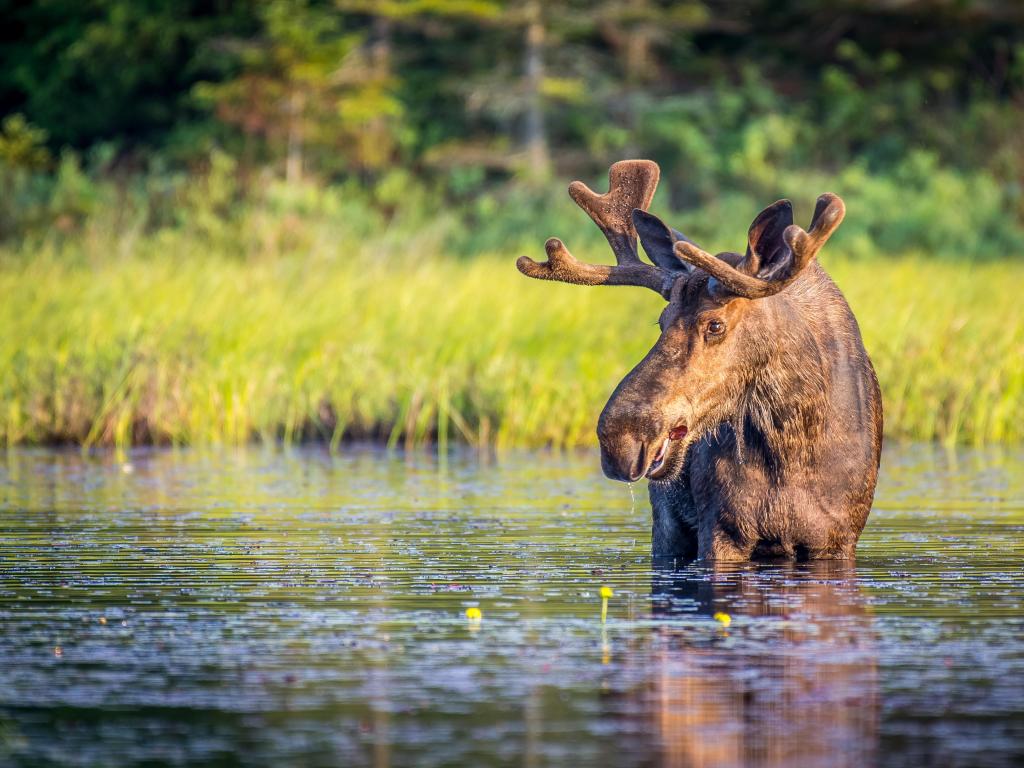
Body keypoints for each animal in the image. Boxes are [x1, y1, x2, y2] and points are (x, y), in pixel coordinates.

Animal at [516, 159, 884, 561]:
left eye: (715, 324)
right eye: (661, 321)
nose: (620, 439)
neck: (794, 444)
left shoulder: (837, 539)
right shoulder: (721, 529)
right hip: (667, 526)